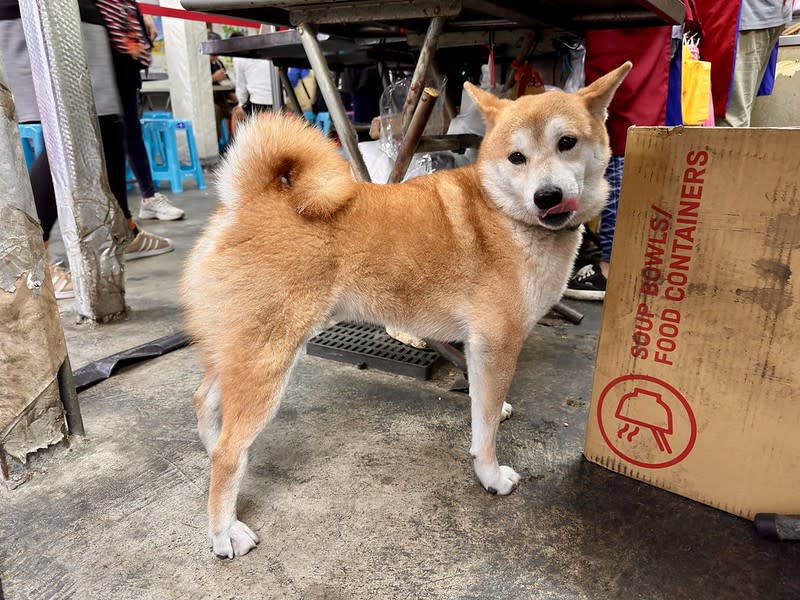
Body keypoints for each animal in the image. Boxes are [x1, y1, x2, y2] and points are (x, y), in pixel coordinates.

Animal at [181, 61, 632, 556]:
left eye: (566, 142)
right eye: (517, 157)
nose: (547, 196)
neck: (504, 213)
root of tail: (245, 204)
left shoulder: (478, 346)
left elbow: (483, 404)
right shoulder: (497, 342)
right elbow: (486, 432)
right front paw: (490, 475)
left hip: (240, 350)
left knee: (207, 405)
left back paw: (209, 448)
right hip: (269, 360)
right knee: (229, 451)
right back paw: (223, 529)